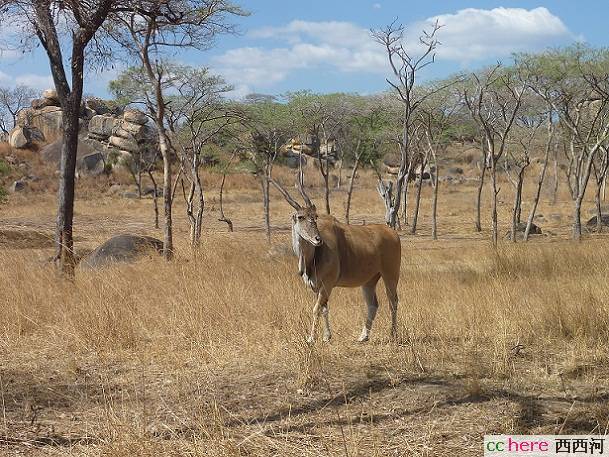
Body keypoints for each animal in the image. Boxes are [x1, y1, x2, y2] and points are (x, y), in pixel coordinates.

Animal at [270, 178, 400, 342]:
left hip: (390, 275)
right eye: (301, 217)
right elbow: (324, 309)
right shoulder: (318, 287)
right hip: (369, 281)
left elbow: (316, 309)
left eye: (315, 217)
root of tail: (393, 233)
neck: (314, 255)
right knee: (373, 305)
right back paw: (363, 336)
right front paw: (327, 336)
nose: (317, 239)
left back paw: (393, 334)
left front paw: (311, 338)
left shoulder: (327, 284)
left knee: (393, 302)